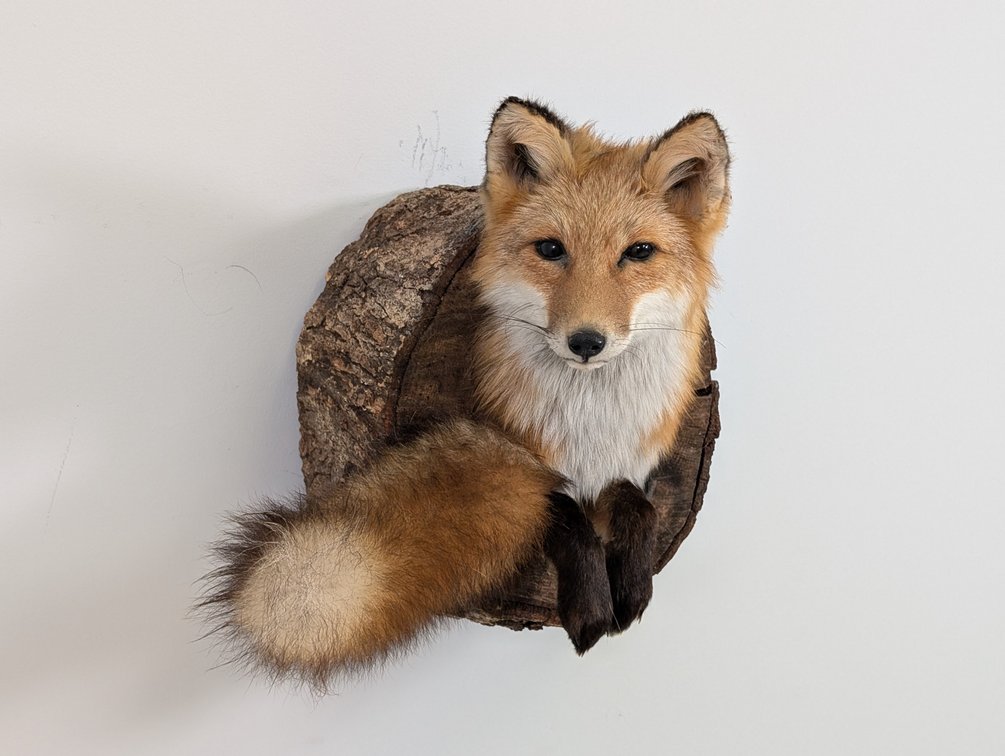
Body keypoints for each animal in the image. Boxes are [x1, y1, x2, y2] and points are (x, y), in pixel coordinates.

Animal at [202, 97, 730, 687]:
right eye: (551, 249)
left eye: (638, 252)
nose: (586, 341)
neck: (590, 427)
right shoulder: (534, 459)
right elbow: (560, 514)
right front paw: (592, 606)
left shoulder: (631, 465)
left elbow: (640, 508)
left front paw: (634, 587)